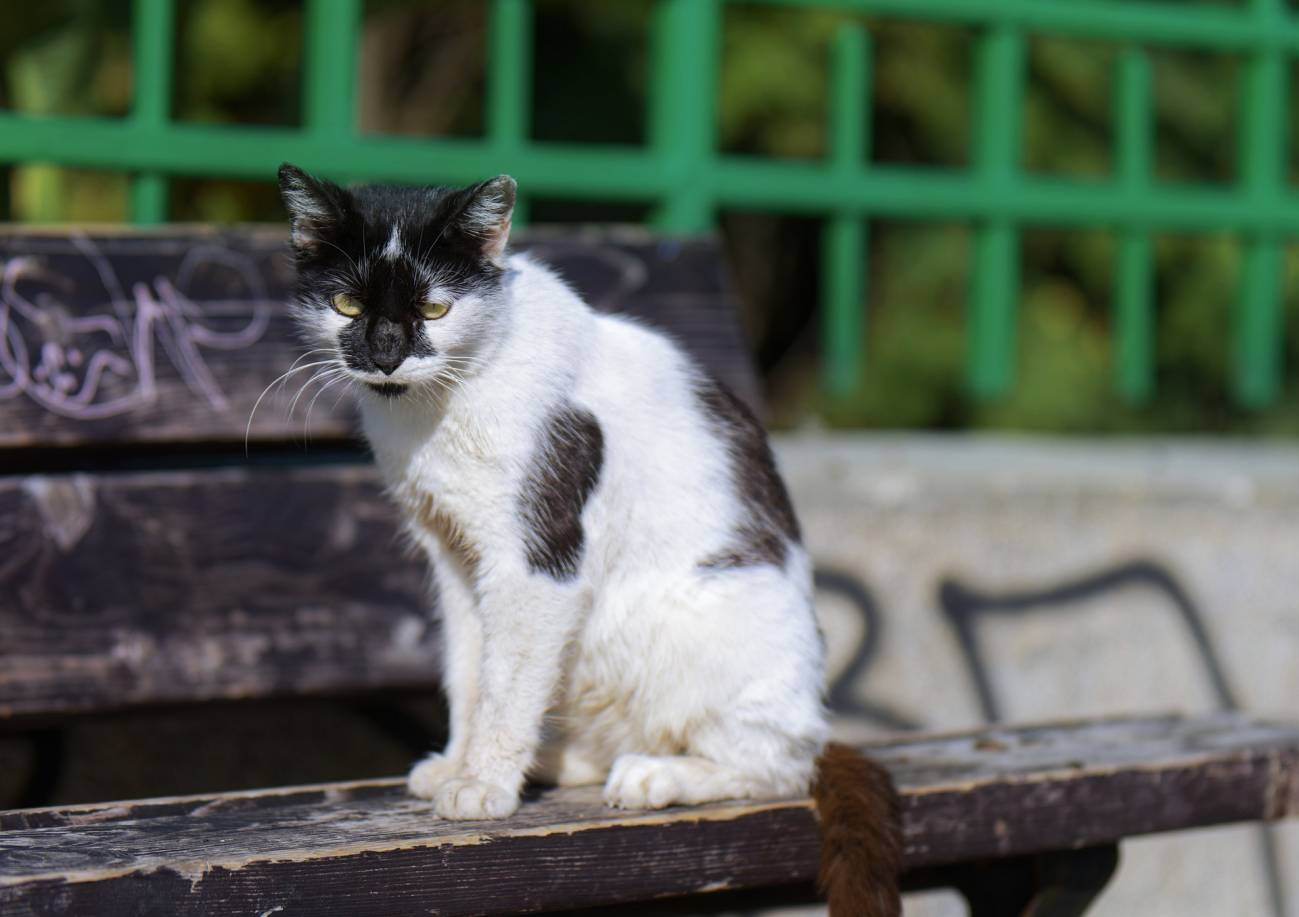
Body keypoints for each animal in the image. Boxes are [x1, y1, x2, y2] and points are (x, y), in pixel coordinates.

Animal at [277, 166, 898, 914]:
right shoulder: (454, 558)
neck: (443, 401)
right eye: (346, 304)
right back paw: (557, 760)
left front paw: (482, 784)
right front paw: (461, 761)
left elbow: (507, 683)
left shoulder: (534, 563)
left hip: (717, 627)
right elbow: (470, 670)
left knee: (777, 765)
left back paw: (658, 775)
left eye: (433, 309)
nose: (385, 353)